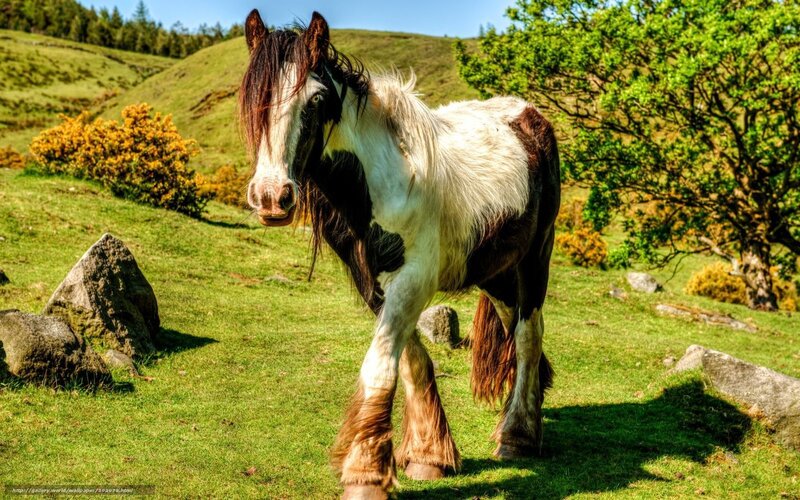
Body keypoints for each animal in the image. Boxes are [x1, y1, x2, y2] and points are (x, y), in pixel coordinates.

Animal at [239, 10, 560, 499]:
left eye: (316, 99)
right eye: (253, 95)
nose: (272, 197)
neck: (382, 180)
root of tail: (529, 114)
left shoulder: (413, 280)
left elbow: (380, 365)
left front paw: (365, 474)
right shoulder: (374, 283)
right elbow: (410, 361)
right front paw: (429, 455)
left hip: (533, 262)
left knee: (527, 337)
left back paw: (517, 436)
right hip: (497, 273)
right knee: (515, 331)